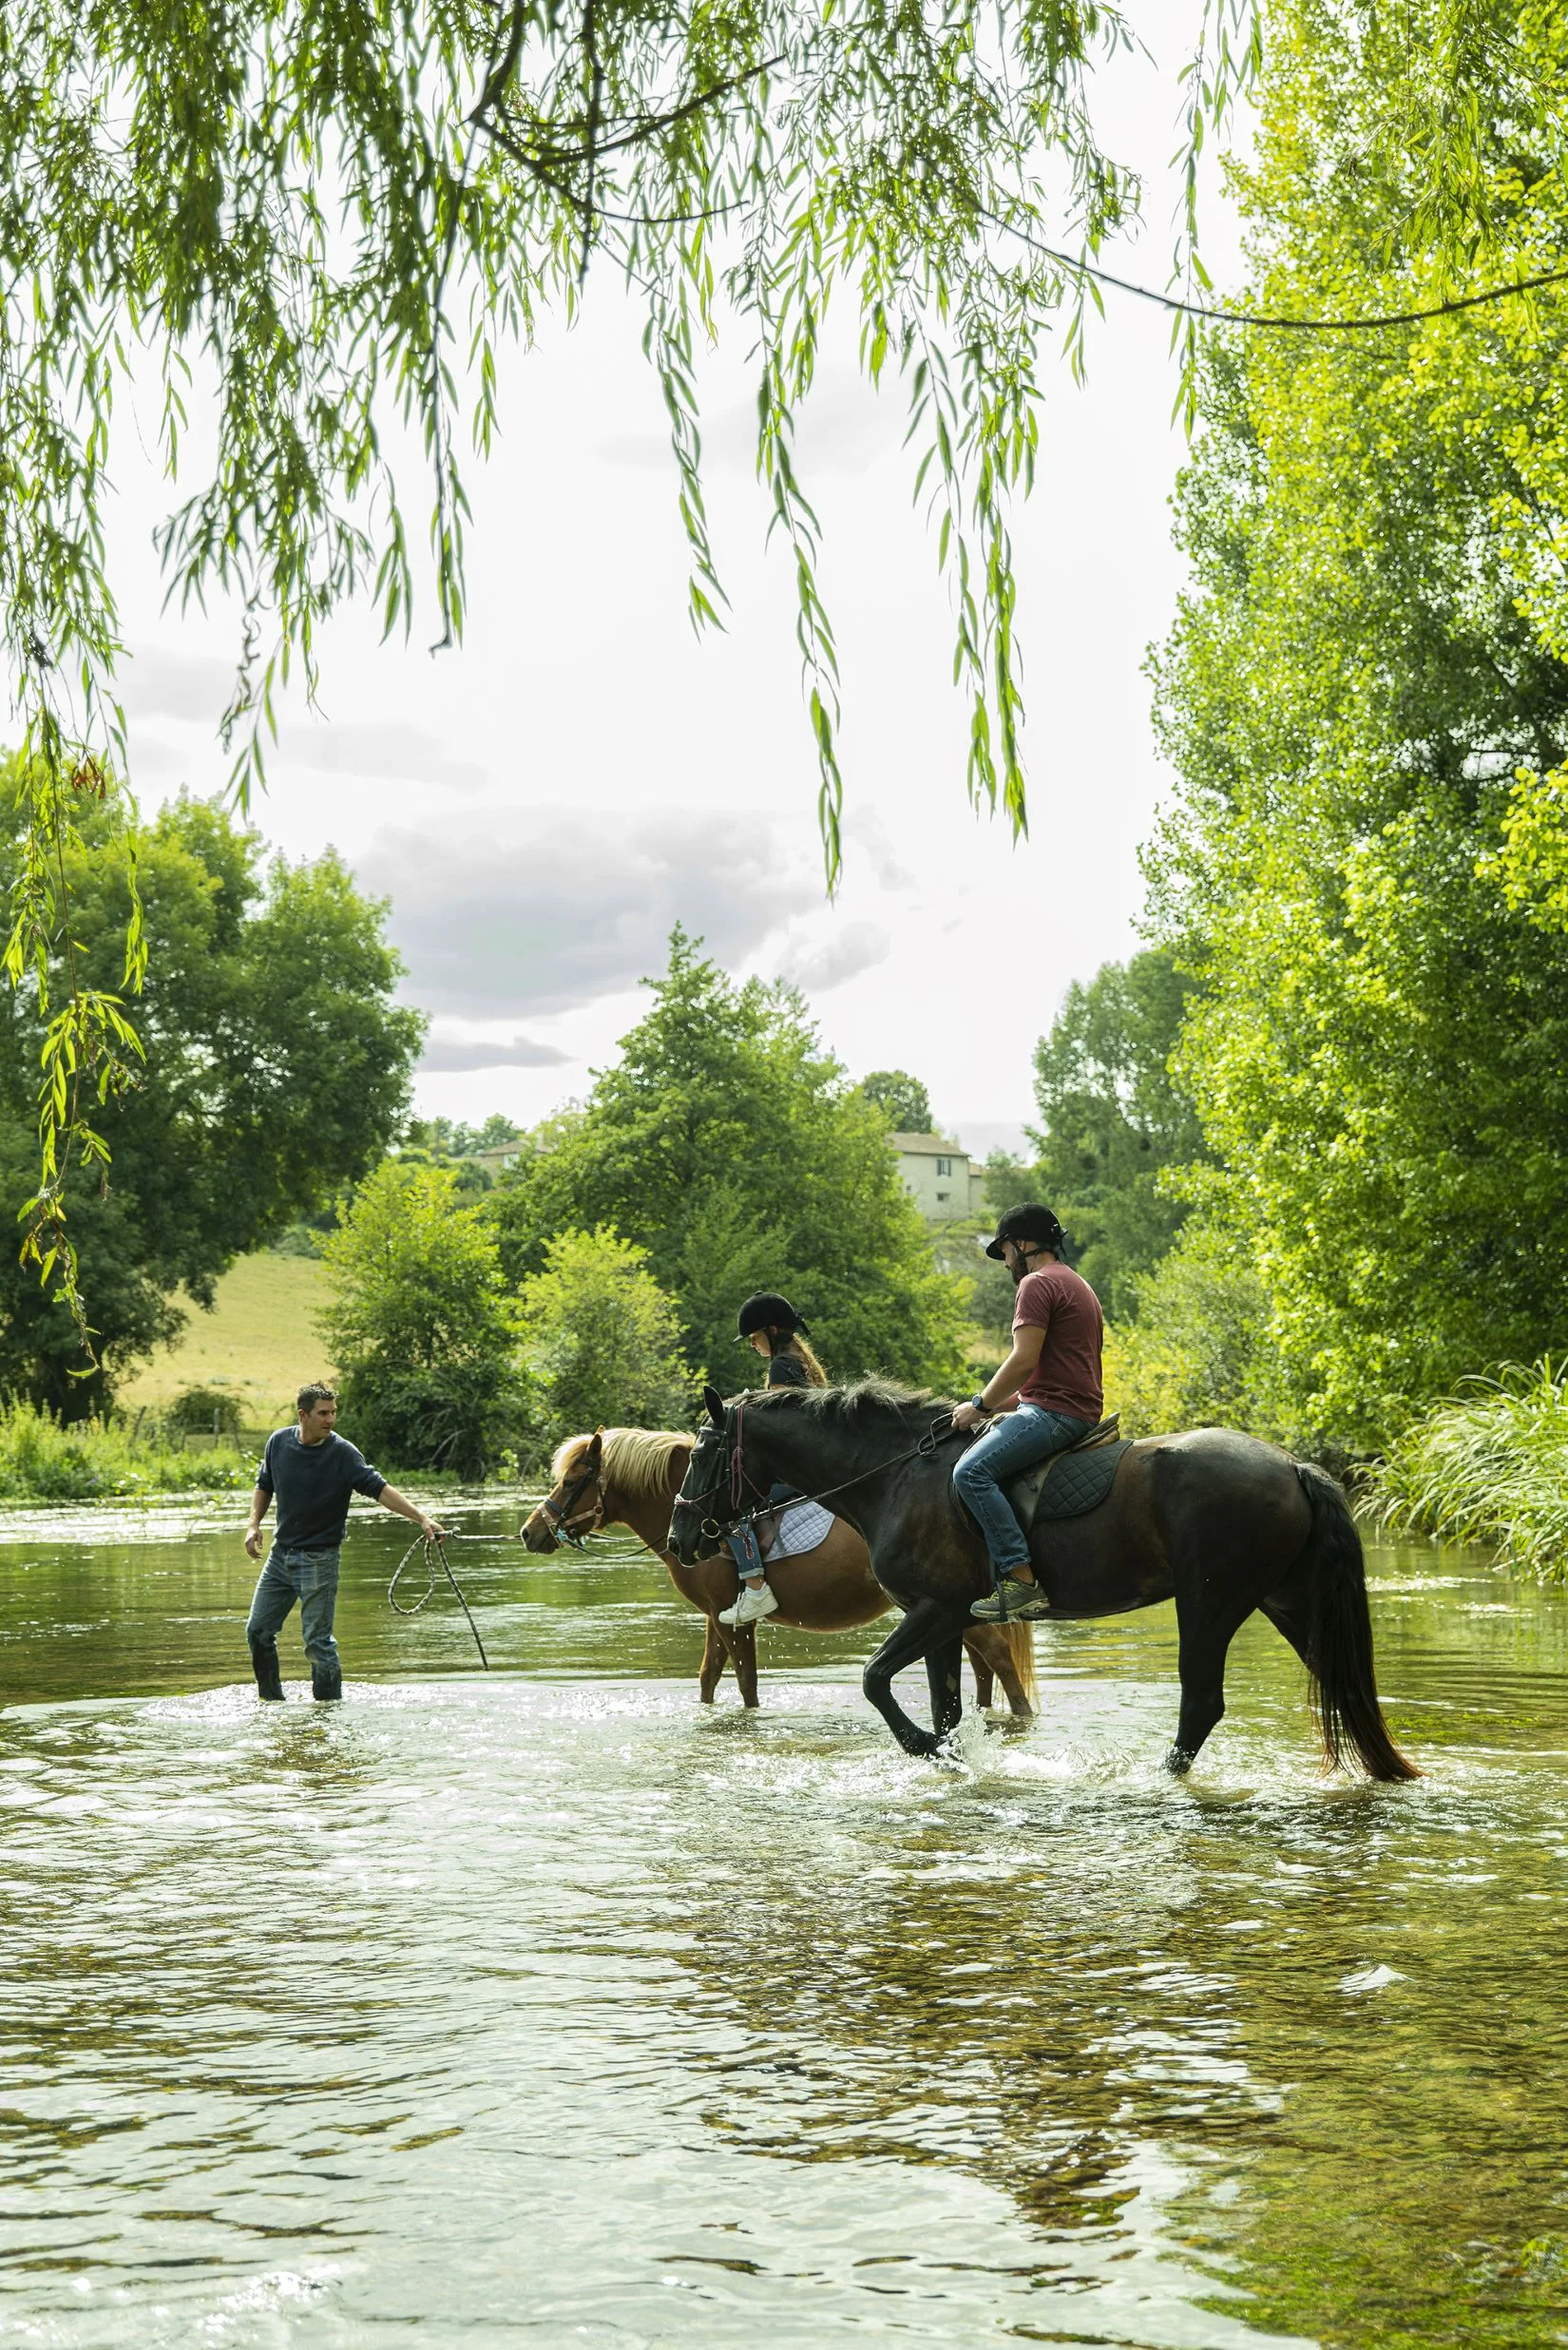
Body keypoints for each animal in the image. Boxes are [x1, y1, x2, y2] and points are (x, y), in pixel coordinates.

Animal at [524, 1419, 1043, 1720]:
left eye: (572, 1480)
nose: (531, 1532)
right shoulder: (717, 1615)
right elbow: (708, 1678)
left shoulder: (734, 1622)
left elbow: (746, 1684)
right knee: (983, 1667)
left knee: (999, 1660)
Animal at [667, 1372, 1420, 1776]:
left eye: (702, 1454)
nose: (679, 1537)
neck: (898, 1476)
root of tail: (1293, 1465)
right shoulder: (938, 1620)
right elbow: (944, 1703)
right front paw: (951, 1757)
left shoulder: (939, 1609)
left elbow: (876, 1680)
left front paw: (924, 1749)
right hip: (1287, 1600)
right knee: (1341, 1682)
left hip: (1211, 1604)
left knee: (1202, 1702)